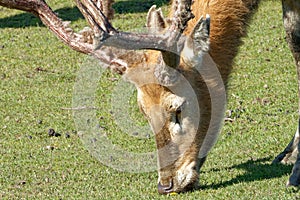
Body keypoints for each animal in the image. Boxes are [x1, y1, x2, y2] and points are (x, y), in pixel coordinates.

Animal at [1, 0, 300, 195]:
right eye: (142, 112)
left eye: (178, 109)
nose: (165, 185)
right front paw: (289, 155)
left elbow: (294, 39)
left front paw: (294, 171)